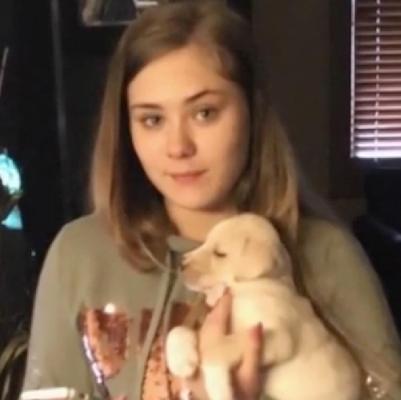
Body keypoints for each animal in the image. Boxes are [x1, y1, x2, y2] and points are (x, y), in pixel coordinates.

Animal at [165, 213, 362, 400]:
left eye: (220, 253)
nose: (181, 263)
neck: (253, 286)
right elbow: (177, 330)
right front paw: (180, 361)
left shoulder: (277, 336)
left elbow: (217, 349)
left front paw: (219, 389)